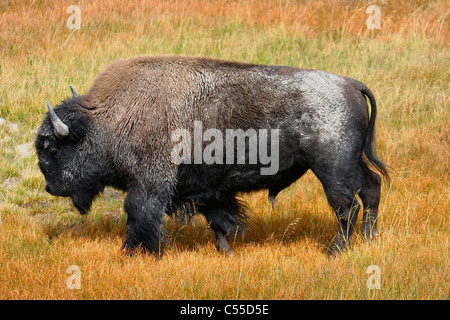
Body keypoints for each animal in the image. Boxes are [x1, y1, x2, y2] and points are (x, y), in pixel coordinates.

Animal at [35, 55, 388, 255]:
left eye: (52, 149)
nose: (50, 187)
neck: (110, 118)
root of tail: (351, 84)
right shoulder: (207, 188)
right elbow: (219, 220)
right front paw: (226, 252)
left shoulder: (149, 184)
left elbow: (138, 215)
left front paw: (134, 252)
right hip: (352, 162)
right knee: (371, 188)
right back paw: (369, 239)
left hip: (332, 168)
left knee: (346, 207)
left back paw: (336, 252)